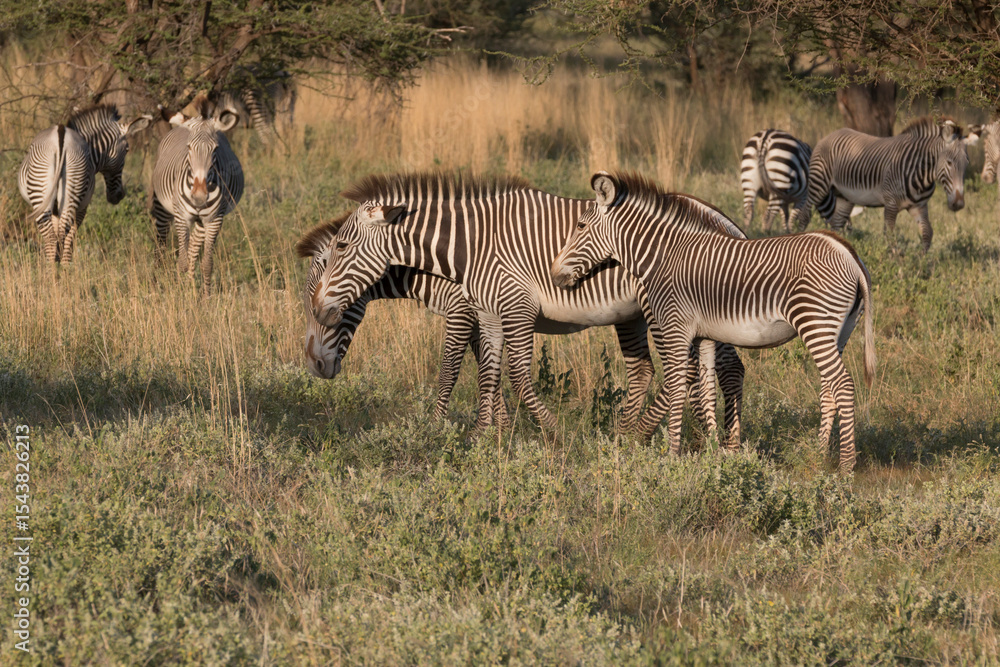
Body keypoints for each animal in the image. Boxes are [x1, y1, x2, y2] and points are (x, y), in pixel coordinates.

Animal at [17, 104, 151, 262]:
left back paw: (54, 269)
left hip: (46, 195)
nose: (119, 195)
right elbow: (68, 240)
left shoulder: (60, 209)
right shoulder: (82, 208)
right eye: (127, 149)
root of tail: (60, 137)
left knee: (53, 238)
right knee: (61, 238)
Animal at [150, 97, 244, 293]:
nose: (200, 197)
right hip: (162, 207)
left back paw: (191, 286)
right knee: (161, 242)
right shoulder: (182, 217)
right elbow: (182, 262)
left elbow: (206, 264)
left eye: (215, 149)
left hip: (201, 221)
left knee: (193, 247)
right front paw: (179, 293)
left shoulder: (214, 220)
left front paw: (205, 297)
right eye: (189, 147)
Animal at [296, 214, 510, 425]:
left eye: (319, 309)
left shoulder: (461, 310)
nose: (314, 366)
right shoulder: (476, 317)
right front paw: (501, 428)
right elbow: (489, 369)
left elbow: (450, 372)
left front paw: (437, 428)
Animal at [551, 172, 875, 472]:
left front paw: (673, 455)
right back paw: (819, 456)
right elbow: (706, 391)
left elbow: (677, 385)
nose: (555, 275)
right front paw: (712, 452)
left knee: (843, 384)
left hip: (815, 324)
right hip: (839, 332)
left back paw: (846, 466)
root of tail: (850, 255)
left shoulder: (676, 328)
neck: (663, 259)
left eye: (580, 226)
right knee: (828, 388)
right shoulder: (703, 336)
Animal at [795, 117, 979, 250]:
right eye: (949, 162)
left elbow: (927, 233)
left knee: (836, 224)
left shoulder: (918, 206)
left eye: (967, 163)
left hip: (845, 196)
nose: (958, 204)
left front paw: (923, 265)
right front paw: (894, 266)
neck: (921, 175)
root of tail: (831, 134)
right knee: (804, 216)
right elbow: (889, 235)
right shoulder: (891, 204)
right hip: (819, 185)